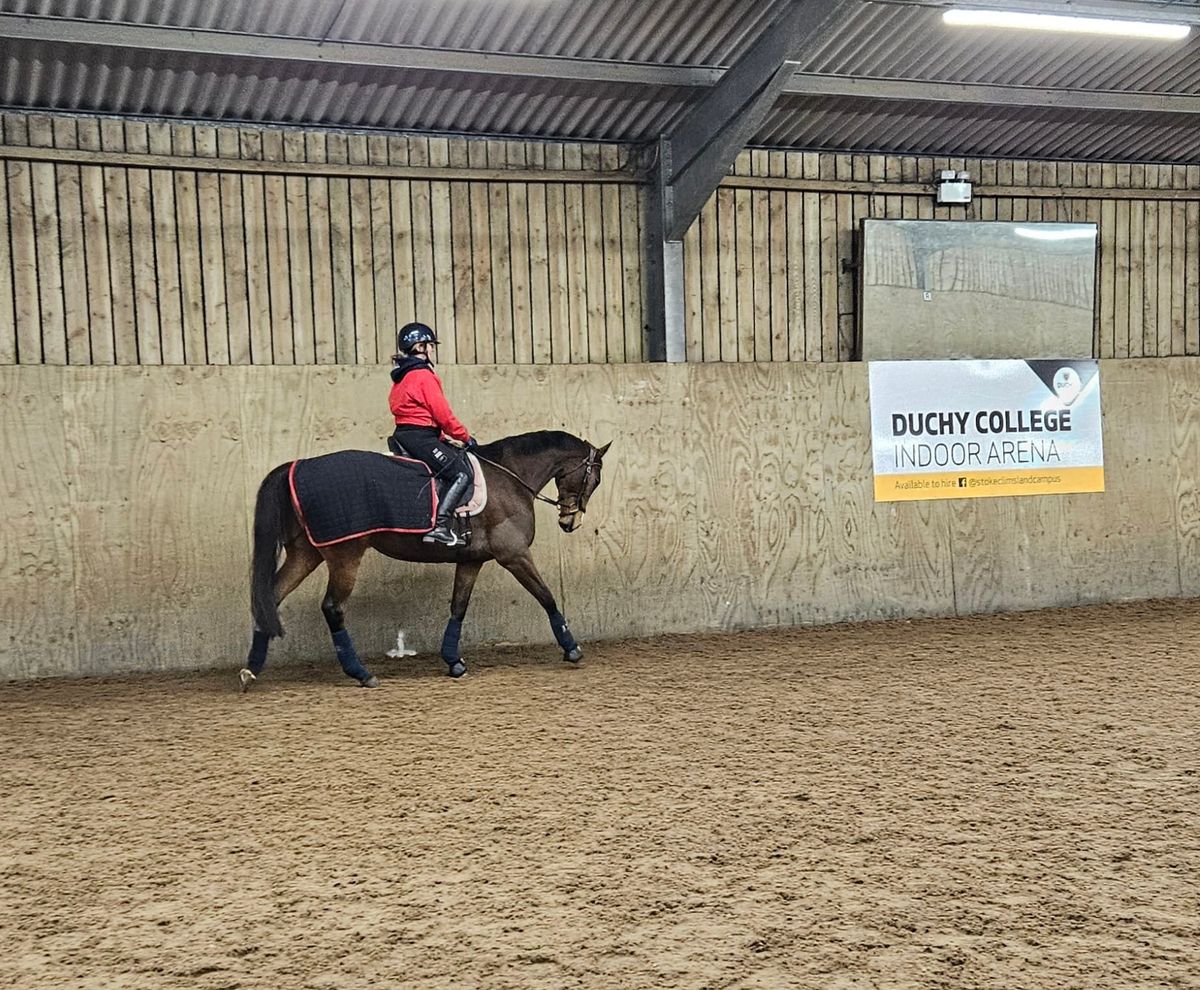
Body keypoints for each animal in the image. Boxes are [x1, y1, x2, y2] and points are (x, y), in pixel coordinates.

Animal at [237, 429, 609, 691]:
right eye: (594, 478)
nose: (570, 522)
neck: (509, 476)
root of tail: (298, 467)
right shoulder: (514, 555)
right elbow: (547, 597)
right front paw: (572, 649)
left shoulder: (472, 560)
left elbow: (458, 607)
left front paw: (454, 662)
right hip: (345, 555)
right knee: (332, 607)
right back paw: (361, 673)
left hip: (306, 553)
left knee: (271, 597)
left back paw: (250, 670)